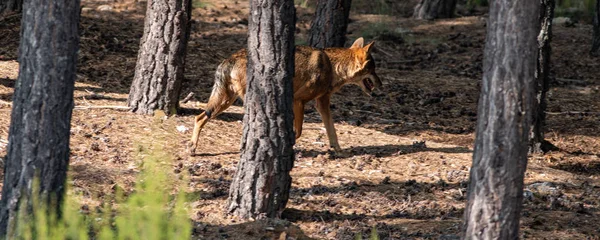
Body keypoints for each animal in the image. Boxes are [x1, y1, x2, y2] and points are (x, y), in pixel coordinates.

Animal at [190, 37, 382, 154]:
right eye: (373, 70)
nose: (381, 84)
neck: (332, 66)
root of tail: (228, 59)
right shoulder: (298, 100)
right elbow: (298, 132)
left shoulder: (322, 104)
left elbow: (331, 131)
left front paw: (339, 151)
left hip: (225, 102)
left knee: (199, 117)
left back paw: (192, 148)